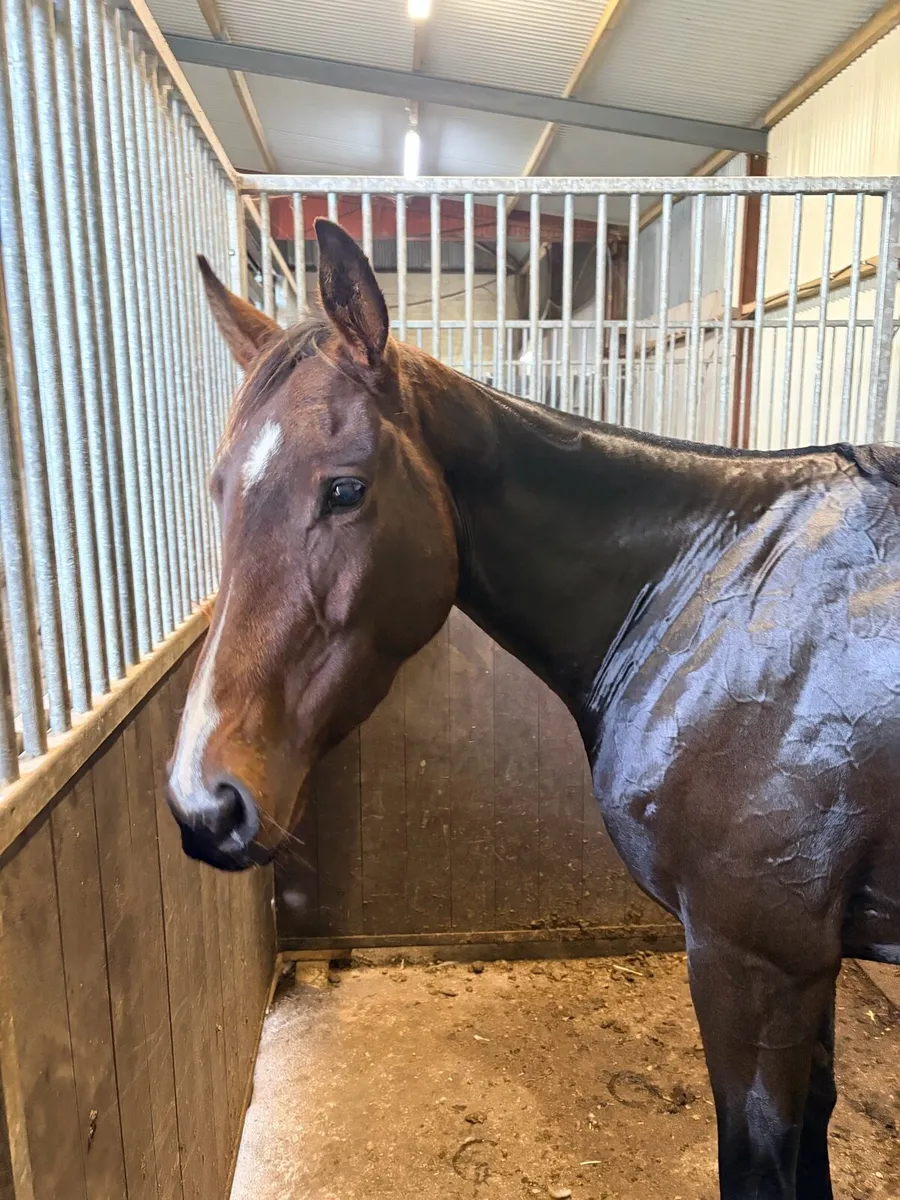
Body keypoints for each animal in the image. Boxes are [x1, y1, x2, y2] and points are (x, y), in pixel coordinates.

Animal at [166, 218, 900, 1199]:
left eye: (345, 487)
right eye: (218, 489)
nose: (204, 800)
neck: (723, 591)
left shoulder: (756, 960)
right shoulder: (805, 965)